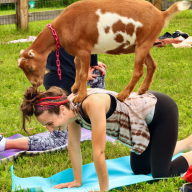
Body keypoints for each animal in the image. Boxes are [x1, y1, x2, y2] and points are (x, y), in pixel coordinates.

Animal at [17, 0, 191, 103]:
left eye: (30, 67)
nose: (35, 84)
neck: (64, 27)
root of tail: (161, 14)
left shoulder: (85, 50)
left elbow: (83, 72)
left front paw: (80, 96)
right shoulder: (78, 52)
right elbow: (77, 66)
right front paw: (74, 88)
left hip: (144, 44)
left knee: (138, 71)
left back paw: (122, 95)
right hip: (144, 44)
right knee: (152, 65)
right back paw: (142, 90)